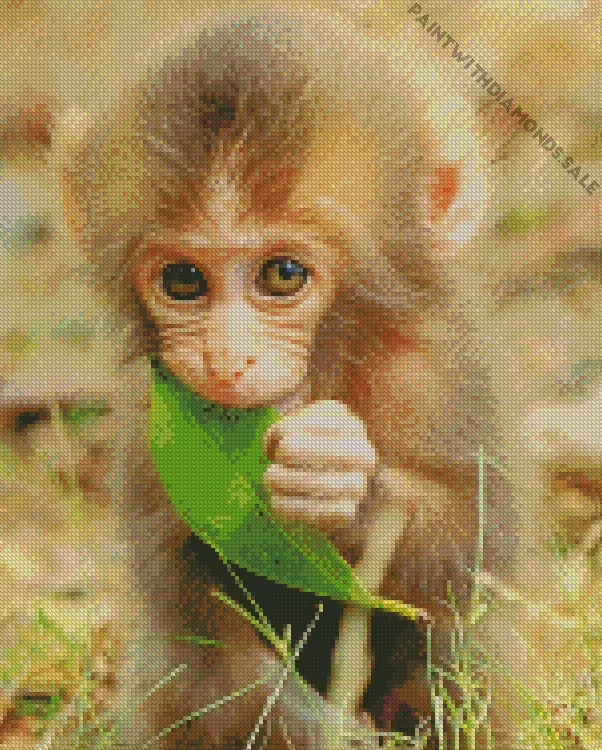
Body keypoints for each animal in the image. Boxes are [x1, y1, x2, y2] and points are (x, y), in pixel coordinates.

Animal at [61, 4, 526, 748]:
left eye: (283, 274)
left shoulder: (436, 367)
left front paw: (339, 480)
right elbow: (197, 628)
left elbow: (475, 546)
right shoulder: (152, 410)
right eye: (183, 280)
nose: (226, 360)